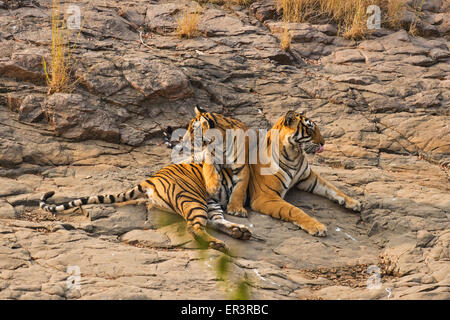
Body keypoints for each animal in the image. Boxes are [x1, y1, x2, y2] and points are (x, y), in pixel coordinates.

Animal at [40, 164, 251, 251]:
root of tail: (151, 178)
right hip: (193, 198)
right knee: (195, 226)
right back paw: (218, 243)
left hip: (209, 200)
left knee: (214, 220)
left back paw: (240, 231)